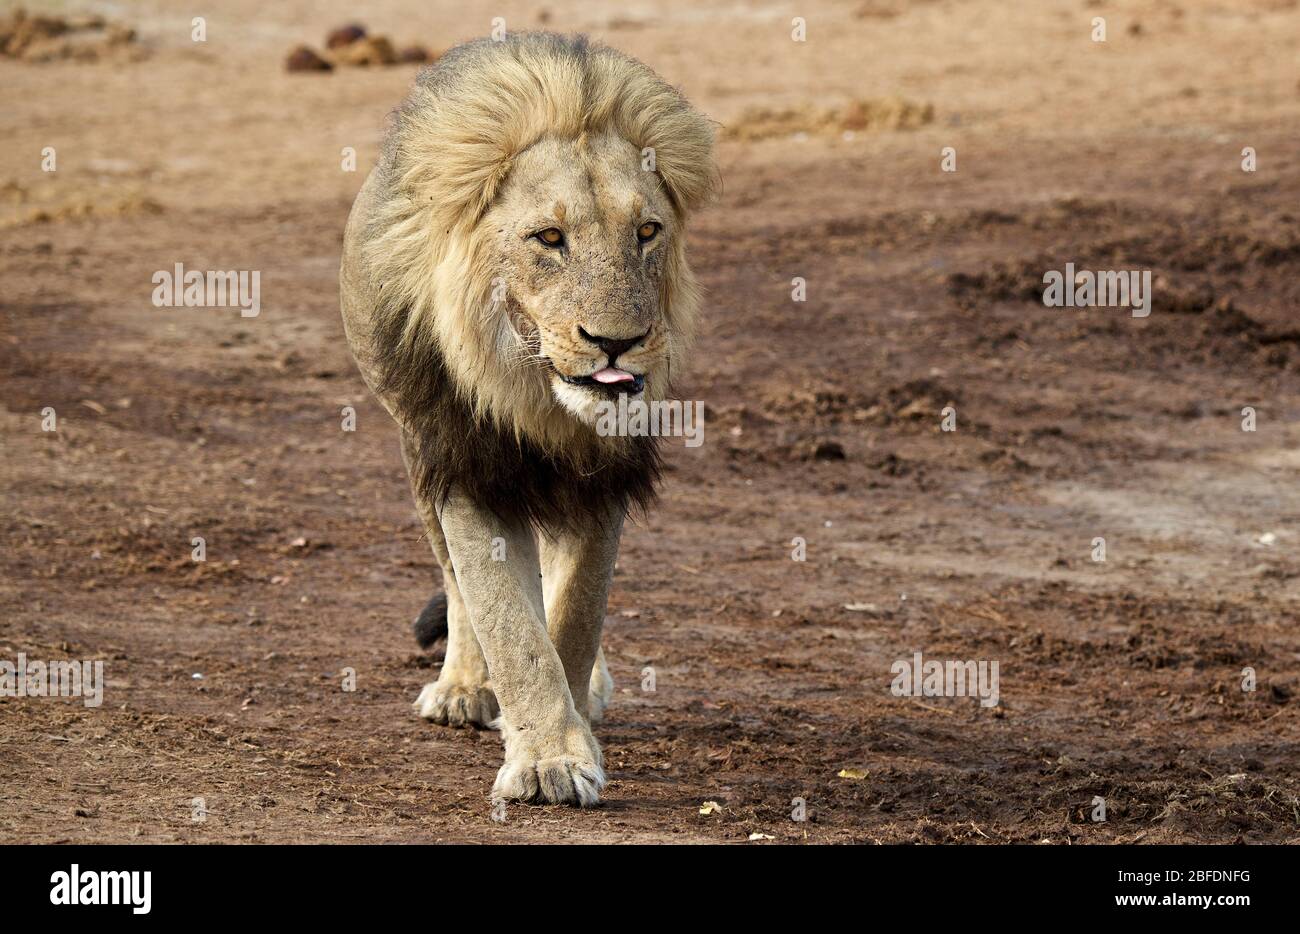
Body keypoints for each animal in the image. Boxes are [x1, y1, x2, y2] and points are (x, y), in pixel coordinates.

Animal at [339, 32, 717, 806]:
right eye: (548, 238)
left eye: (647, 231)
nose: (616, 342)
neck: (538, 401)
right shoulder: (465, 469)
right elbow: (508, 623)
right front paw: (546, 762)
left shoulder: (603, 480)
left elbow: (574, 615)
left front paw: (569, 735)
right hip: (416, 451)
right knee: (456, 583)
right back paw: (463, 688)